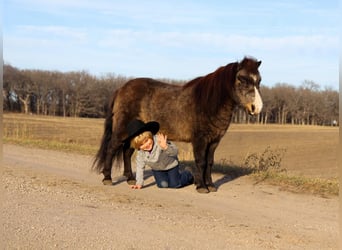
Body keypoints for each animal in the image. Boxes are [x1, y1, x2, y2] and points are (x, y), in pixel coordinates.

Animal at [92, 56, 264, 193]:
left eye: (259, 81)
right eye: (242, 79)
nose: (256, 108)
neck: (208, 103)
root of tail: (121, 88)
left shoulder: (214, 141)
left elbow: (209, 162)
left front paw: (210, 185)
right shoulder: (200, 140)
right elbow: (201, 162)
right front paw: (201, 187)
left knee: (126, 152)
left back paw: (130, 178)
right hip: (121, 130)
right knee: (112, 148)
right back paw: (107, 178)